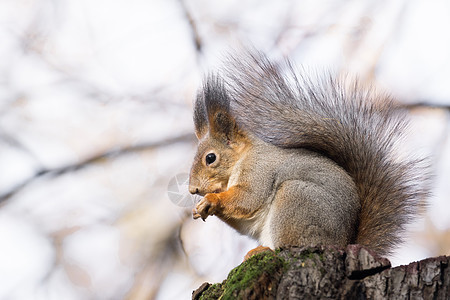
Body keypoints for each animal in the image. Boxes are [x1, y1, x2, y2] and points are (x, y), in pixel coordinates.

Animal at [186, 51, 428, 255]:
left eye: (210, 158)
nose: (192, 189)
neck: (243, 157)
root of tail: (343, 244)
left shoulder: (259, 170)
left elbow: (248, 198)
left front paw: (211, 200)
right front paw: (199, 209)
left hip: (296, 201)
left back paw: (264, 250)